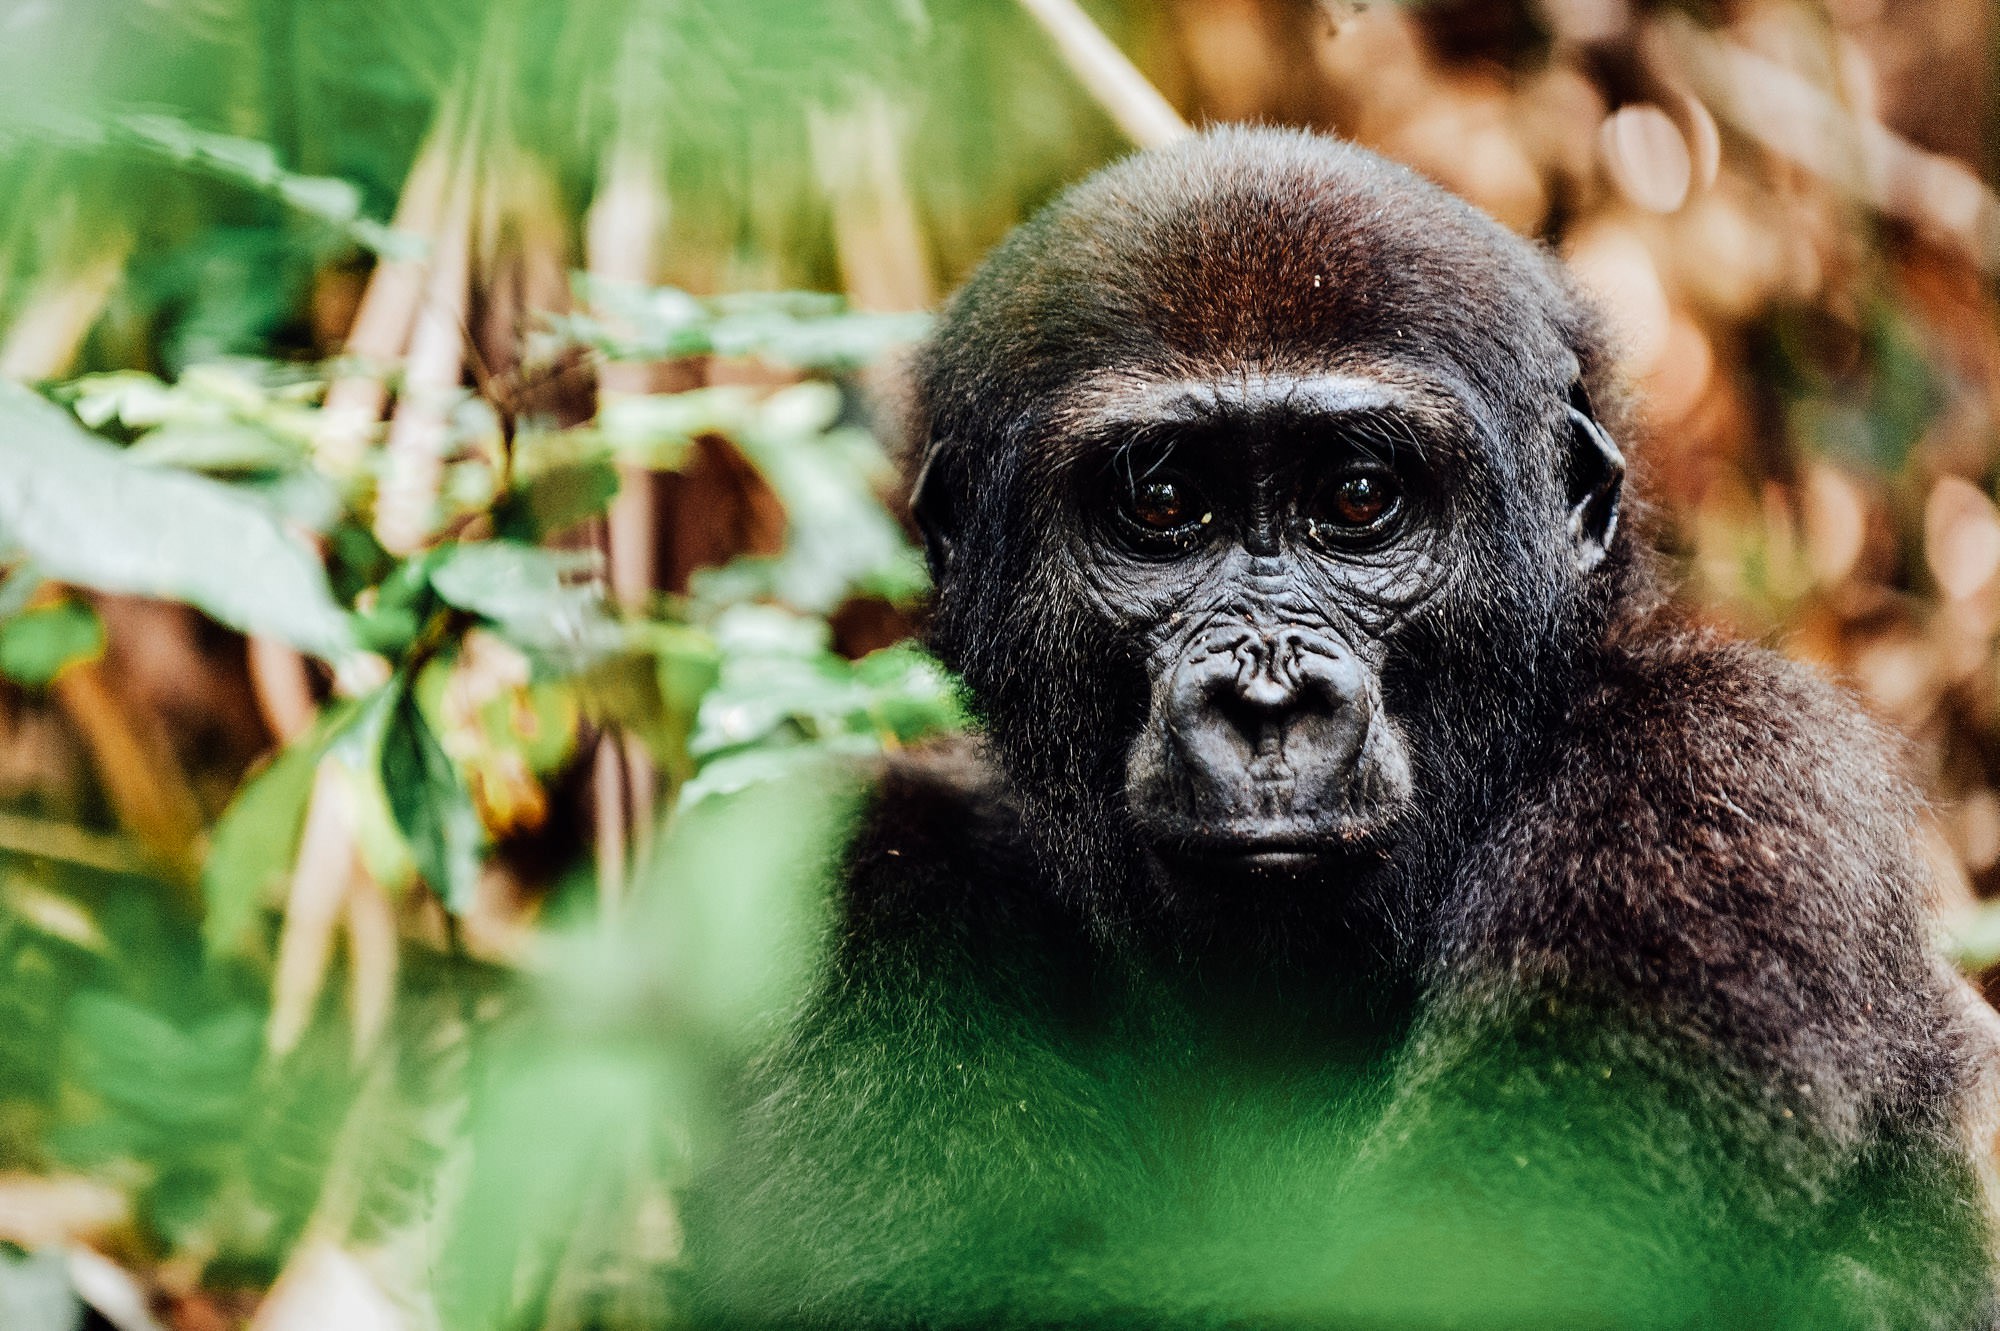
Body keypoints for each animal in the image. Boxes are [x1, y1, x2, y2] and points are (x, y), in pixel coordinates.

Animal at [683, 126, 2000, 1330]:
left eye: (1358, 498)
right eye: (1163, 501)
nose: (1266, 703)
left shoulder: (1730, 774)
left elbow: (1478, 1257)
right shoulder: (853, 868)